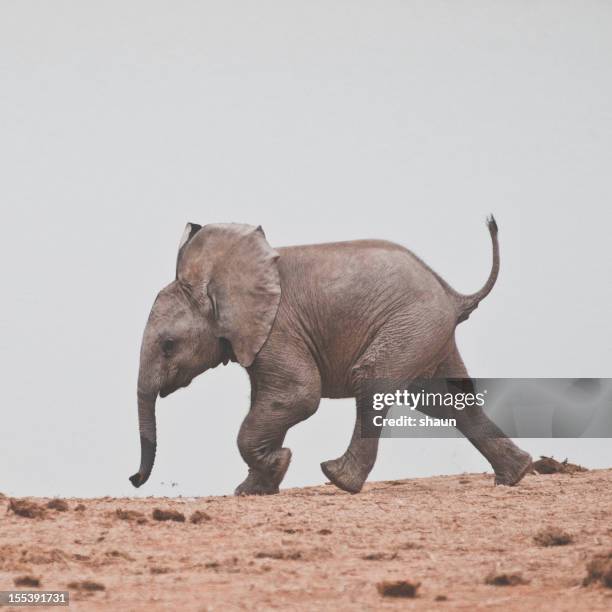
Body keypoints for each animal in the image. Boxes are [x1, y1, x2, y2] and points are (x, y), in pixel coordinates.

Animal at [129, 218, 532, 494]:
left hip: (413, 323)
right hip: (429, 333)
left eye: (168, 345)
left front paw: (276, 465)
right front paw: (255, 488)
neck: (217, 279)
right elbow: (270, 400)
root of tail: (452, 294)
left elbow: (298, 396)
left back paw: (339, 479)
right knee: (447, 401)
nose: (134, 479)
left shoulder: (277, 328)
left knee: (374, 378)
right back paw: (515, 475)